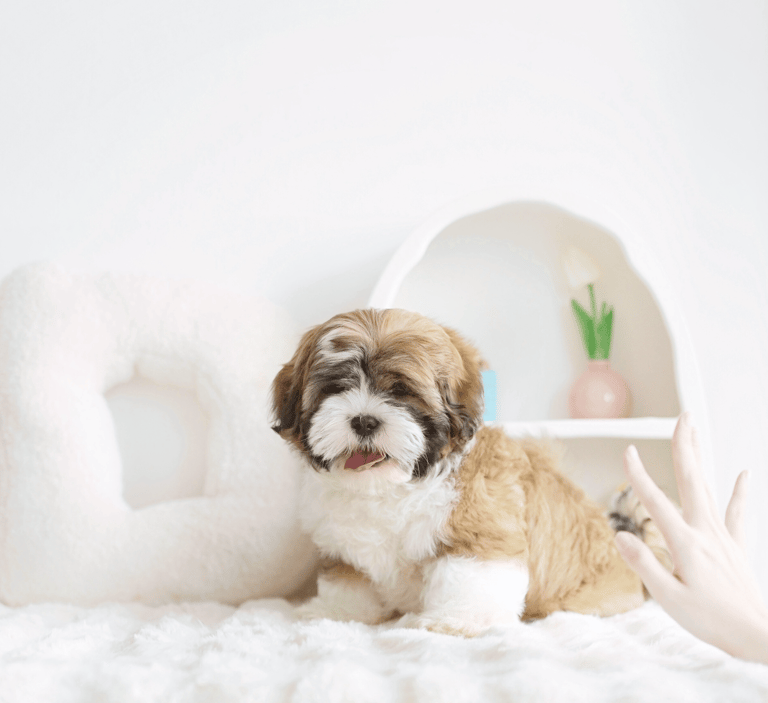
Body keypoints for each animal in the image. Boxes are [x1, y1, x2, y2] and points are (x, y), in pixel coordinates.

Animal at [271, 308, 667, 636]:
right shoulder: (343, 546)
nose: (364, 420)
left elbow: (470, 578)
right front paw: (336, 612)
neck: (390, 488)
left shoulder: (478, 531)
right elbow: (347, 581)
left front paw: (453, 622)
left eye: (401, 391)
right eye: (337, 388)